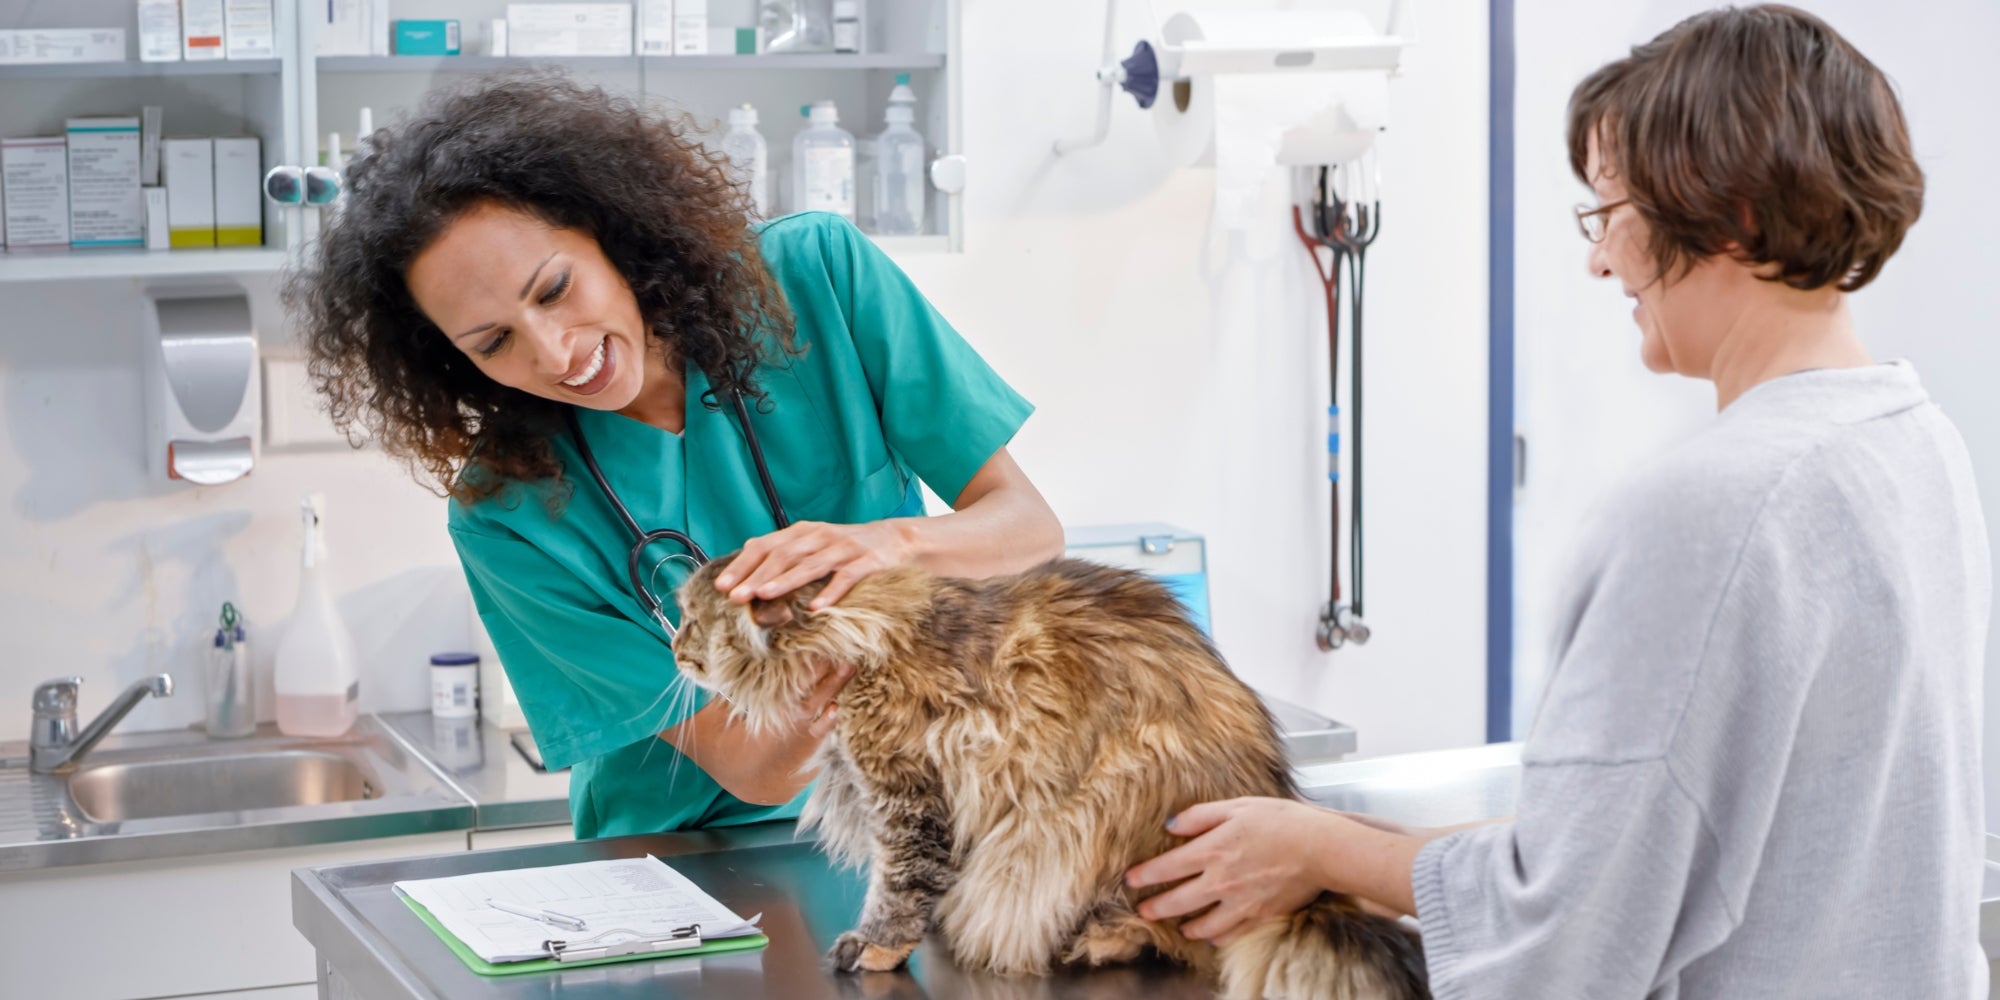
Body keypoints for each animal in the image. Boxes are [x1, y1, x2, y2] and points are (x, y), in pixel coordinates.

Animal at [680, 556, 1432, 1000]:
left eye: (691, 621)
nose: (674, 648)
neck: (857, 636)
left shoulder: (907, 795)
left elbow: (900, 885)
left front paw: (877, 947)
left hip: (1092, 812)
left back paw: (1097, 940)